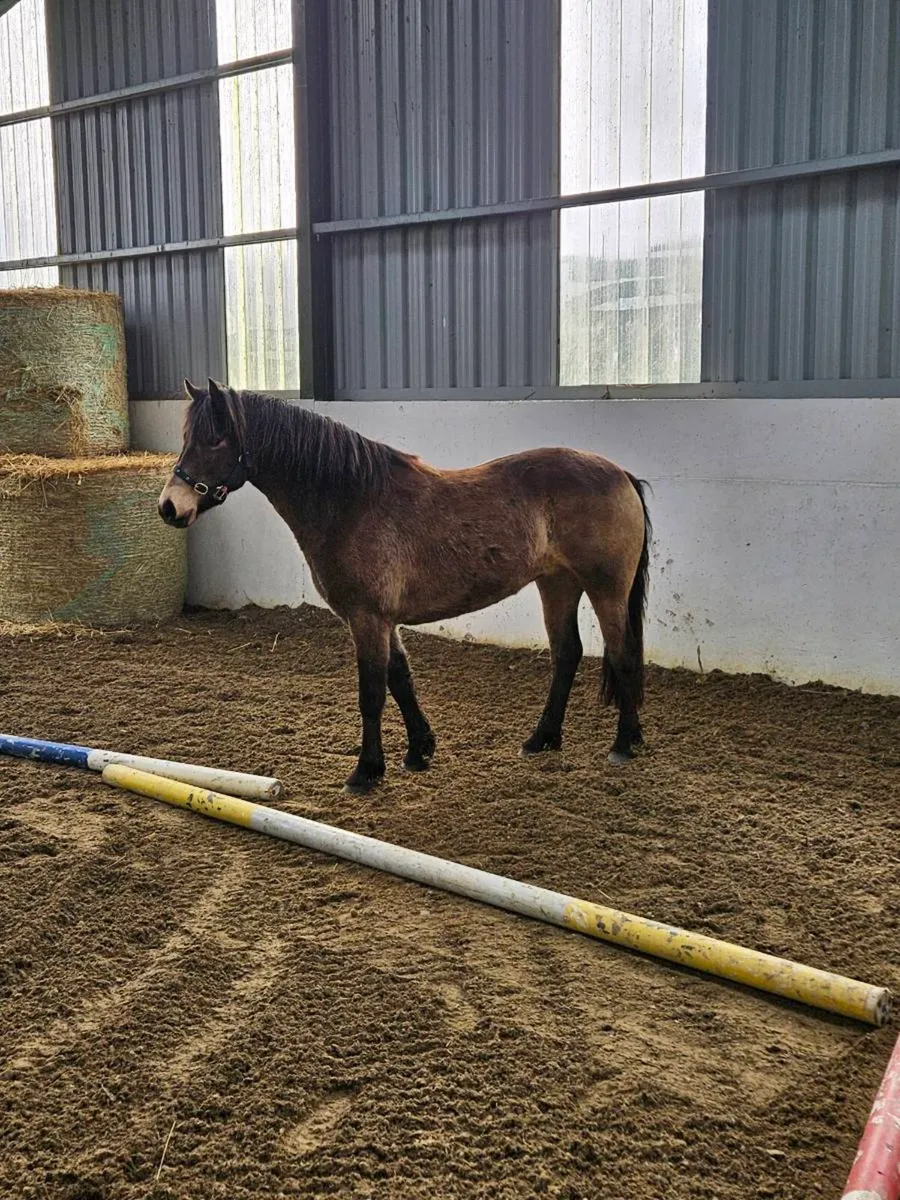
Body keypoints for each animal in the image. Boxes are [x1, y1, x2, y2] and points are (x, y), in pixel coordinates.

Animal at [159, 380, 652, 794]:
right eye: (187, 437)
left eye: (215, 439)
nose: (169, 507)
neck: (351, 502)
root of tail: (621, 474)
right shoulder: (382, 620)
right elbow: (400, 679)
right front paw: (419, 750)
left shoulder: (367, 618)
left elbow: (372, 693)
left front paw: (366, 771)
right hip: (557, 584)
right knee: (566, 654)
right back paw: (542, 738)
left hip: (606, 590)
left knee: (623, 653)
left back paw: (624, 744)